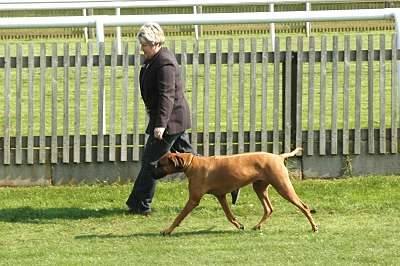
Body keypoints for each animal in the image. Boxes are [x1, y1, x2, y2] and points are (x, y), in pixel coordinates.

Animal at [154, 148, 318, 235]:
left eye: (160, 164)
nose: (151, 172)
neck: (191, 163)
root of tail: (278, 156)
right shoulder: (221, 196)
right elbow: (229, 215)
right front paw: (239, 225)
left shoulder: (193, 200)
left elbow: (179, 217)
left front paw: (167, 230)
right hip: (259, 188)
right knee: (269, 209)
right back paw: (257, 226)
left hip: (283, 187)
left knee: (304, 206)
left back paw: (314, 227)